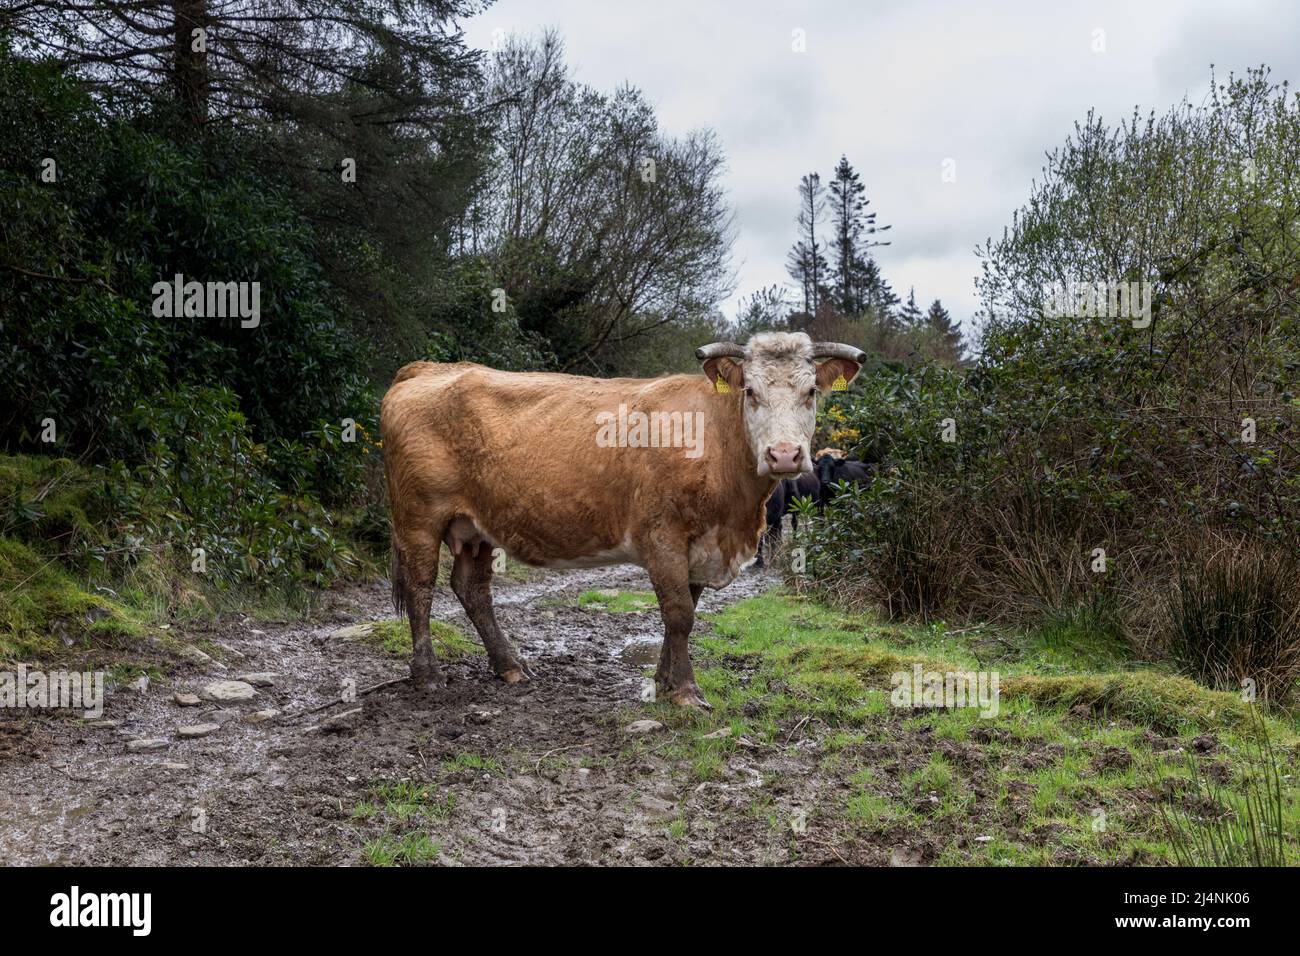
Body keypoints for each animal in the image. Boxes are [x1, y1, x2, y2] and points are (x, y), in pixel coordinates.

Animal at [379, 332, 863, 707]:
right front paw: (685, 691)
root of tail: (425, 369)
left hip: (477, 526)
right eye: (750, 392)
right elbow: (679, 614)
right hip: (419, 518)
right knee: (422, 589)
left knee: (472, 589)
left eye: (810, 393)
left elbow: (686, 611)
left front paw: (664, 682)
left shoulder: (701, 545)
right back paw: (428, 674)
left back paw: (510, 665)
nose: (784, 455)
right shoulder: (664, 536)